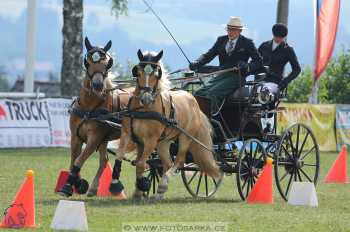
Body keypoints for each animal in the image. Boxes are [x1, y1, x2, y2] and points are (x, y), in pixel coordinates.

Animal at [57, 37, 134, 197]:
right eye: (87, 62)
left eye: (108, 64)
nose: (98, 85)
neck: (89, 107)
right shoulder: (76, 137)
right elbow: (73, 161)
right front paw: (77, 184)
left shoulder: (94, 138)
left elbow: (79, 161)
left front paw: (67, 186)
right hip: (105, 139)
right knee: (104, 160)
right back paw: (93, 188)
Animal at [109, 49, 221, 200]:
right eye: (138, 72)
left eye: (157, 74)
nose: (146, 98)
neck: (143, 110)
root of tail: (194, 103)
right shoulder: (128, 135)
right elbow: (121, 157)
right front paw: (120, 186)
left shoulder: (150, 140)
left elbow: (141, 164)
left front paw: (142, 185)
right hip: (164, 142)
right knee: (168, 163)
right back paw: (160, 191)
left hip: (185, 137)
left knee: (178, 161)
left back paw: (162, 186)